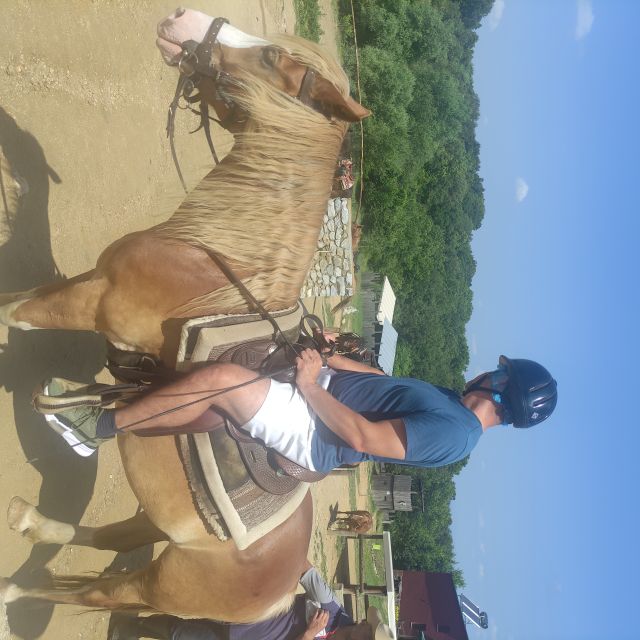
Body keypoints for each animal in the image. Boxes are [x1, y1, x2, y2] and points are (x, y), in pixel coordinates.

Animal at [0, 5, 368, 624]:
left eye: (271, 56)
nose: (183, 18)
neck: (207, 258)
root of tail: (283, 589)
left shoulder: (92, 302)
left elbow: (17, 313)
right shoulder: (90, 281)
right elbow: (19, 299)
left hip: (159, 585)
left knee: (97, 591)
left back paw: (16, 587)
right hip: (162, 523)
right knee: (118, 537)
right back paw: (34, 520)